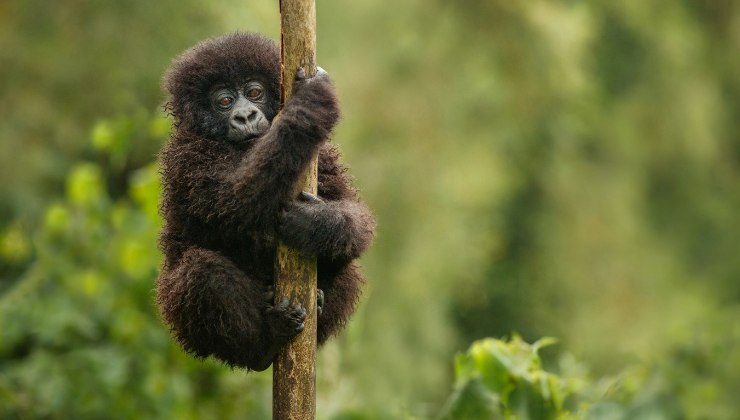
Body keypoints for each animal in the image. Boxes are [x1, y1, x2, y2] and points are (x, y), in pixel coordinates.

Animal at [155, 32, 375, 371]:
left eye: (254, 92)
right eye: (224, 101)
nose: (245, 115)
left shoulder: (323, 156)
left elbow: (354, 214)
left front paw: (315, 224)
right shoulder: (187, 158)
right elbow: (235, 201)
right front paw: (309, 104)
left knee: (348, 265)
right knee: (201, 271)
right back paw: (264, 344)